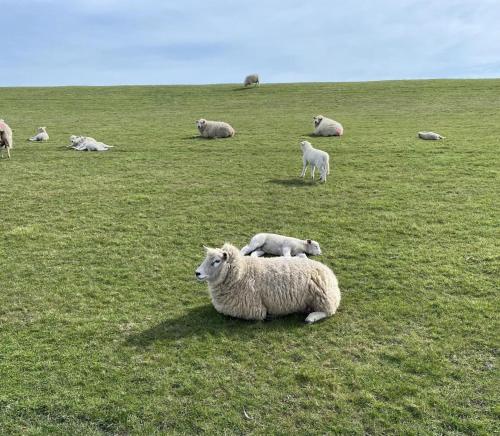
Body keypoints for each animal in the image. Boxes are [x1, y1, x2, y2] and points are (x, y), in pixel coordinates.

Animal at [195, 242, 340, 324]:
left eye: (217, 261)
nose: (197, 273)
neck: (242, 273)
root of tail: (330, 273)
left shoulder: (252, 310)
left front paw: (269, 316)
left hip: (323, 297)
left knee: (328, 311)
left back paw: (311, 318)